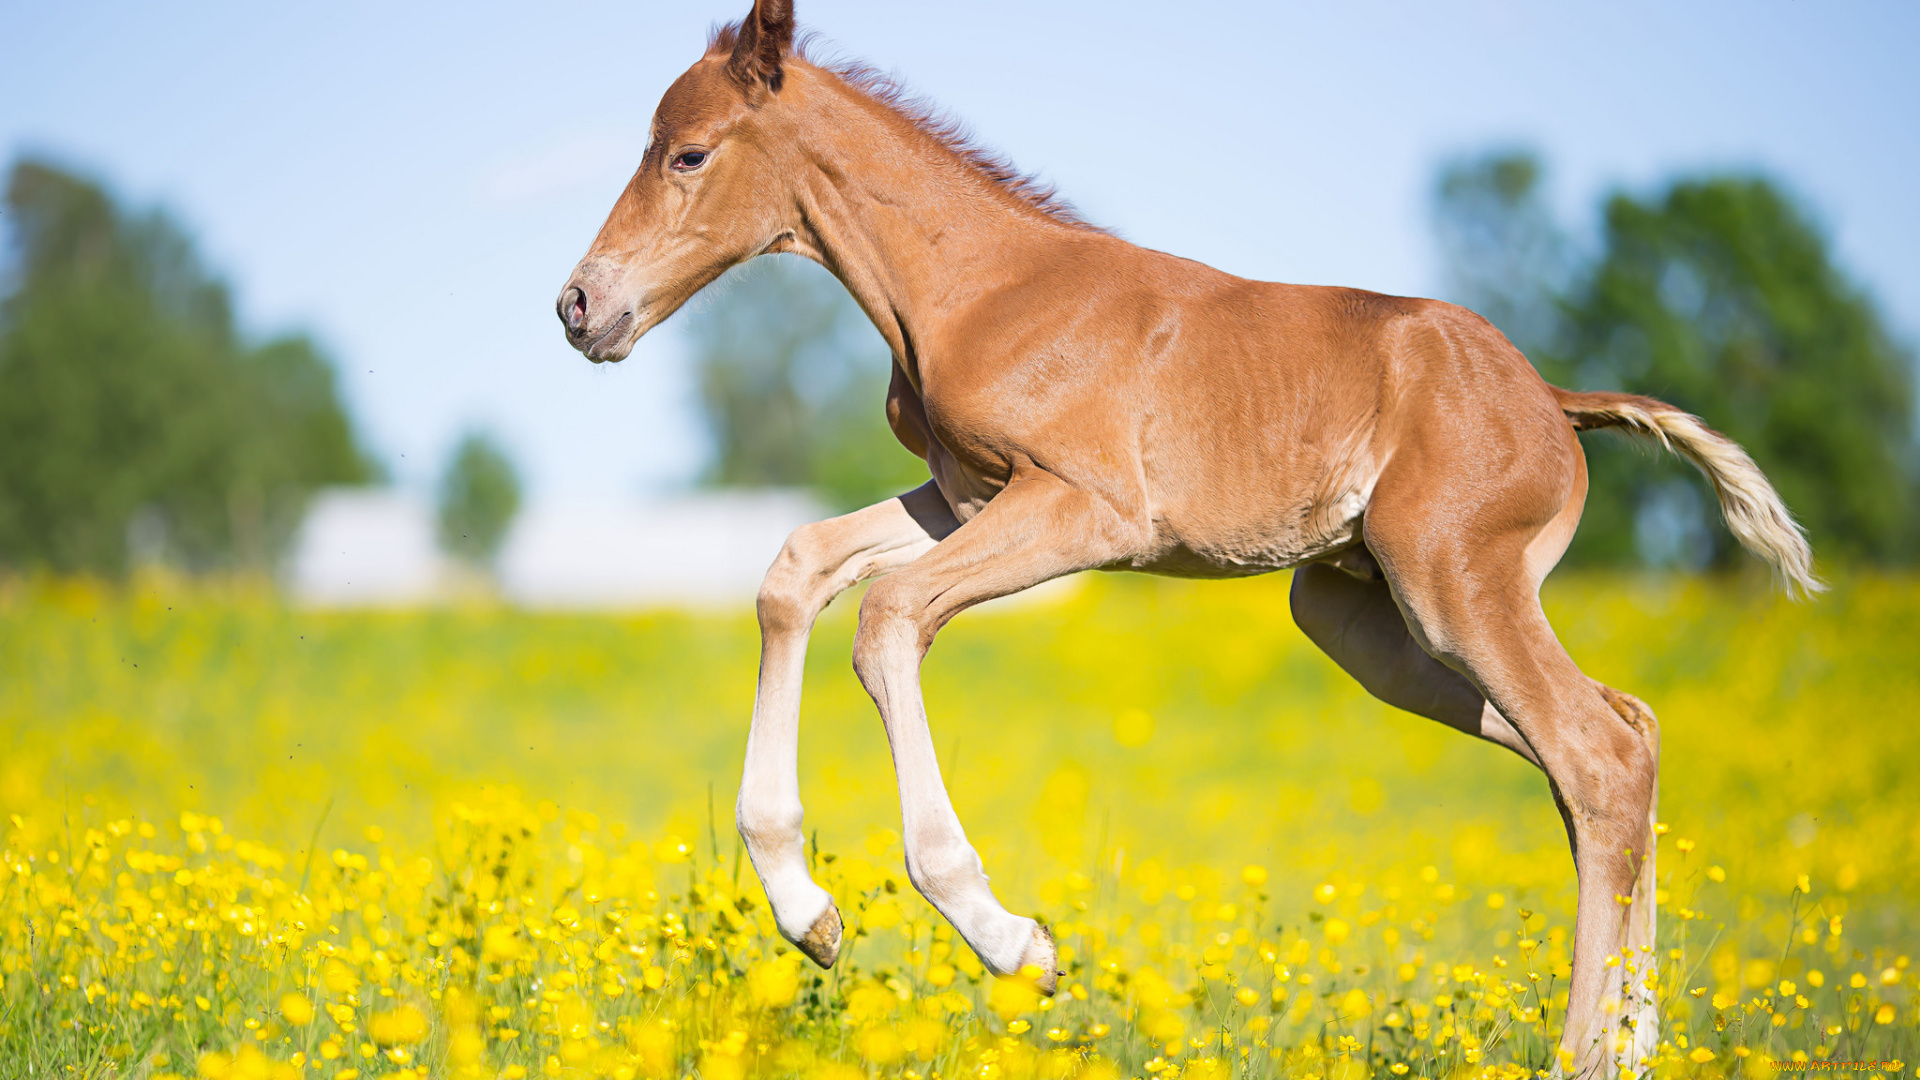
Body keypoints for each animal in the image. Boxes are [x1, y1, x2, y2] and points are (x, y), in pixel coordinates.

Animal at [552, 4, 1812, 1068]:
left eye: (688, 154)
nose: (577, 306)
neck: (976, 285)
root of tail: (1552, 400)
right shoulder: (961, 498)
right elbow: (796, 569)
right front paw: (808, 911)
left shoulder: (1084, 509)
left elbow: (888, 617)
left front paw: (1012, 940)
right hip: (1364, 619)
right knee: (1620, 737)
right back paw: (1637, 1041)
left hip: (1454, 584)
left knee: (1595, 755)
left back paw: (1587, 1055)